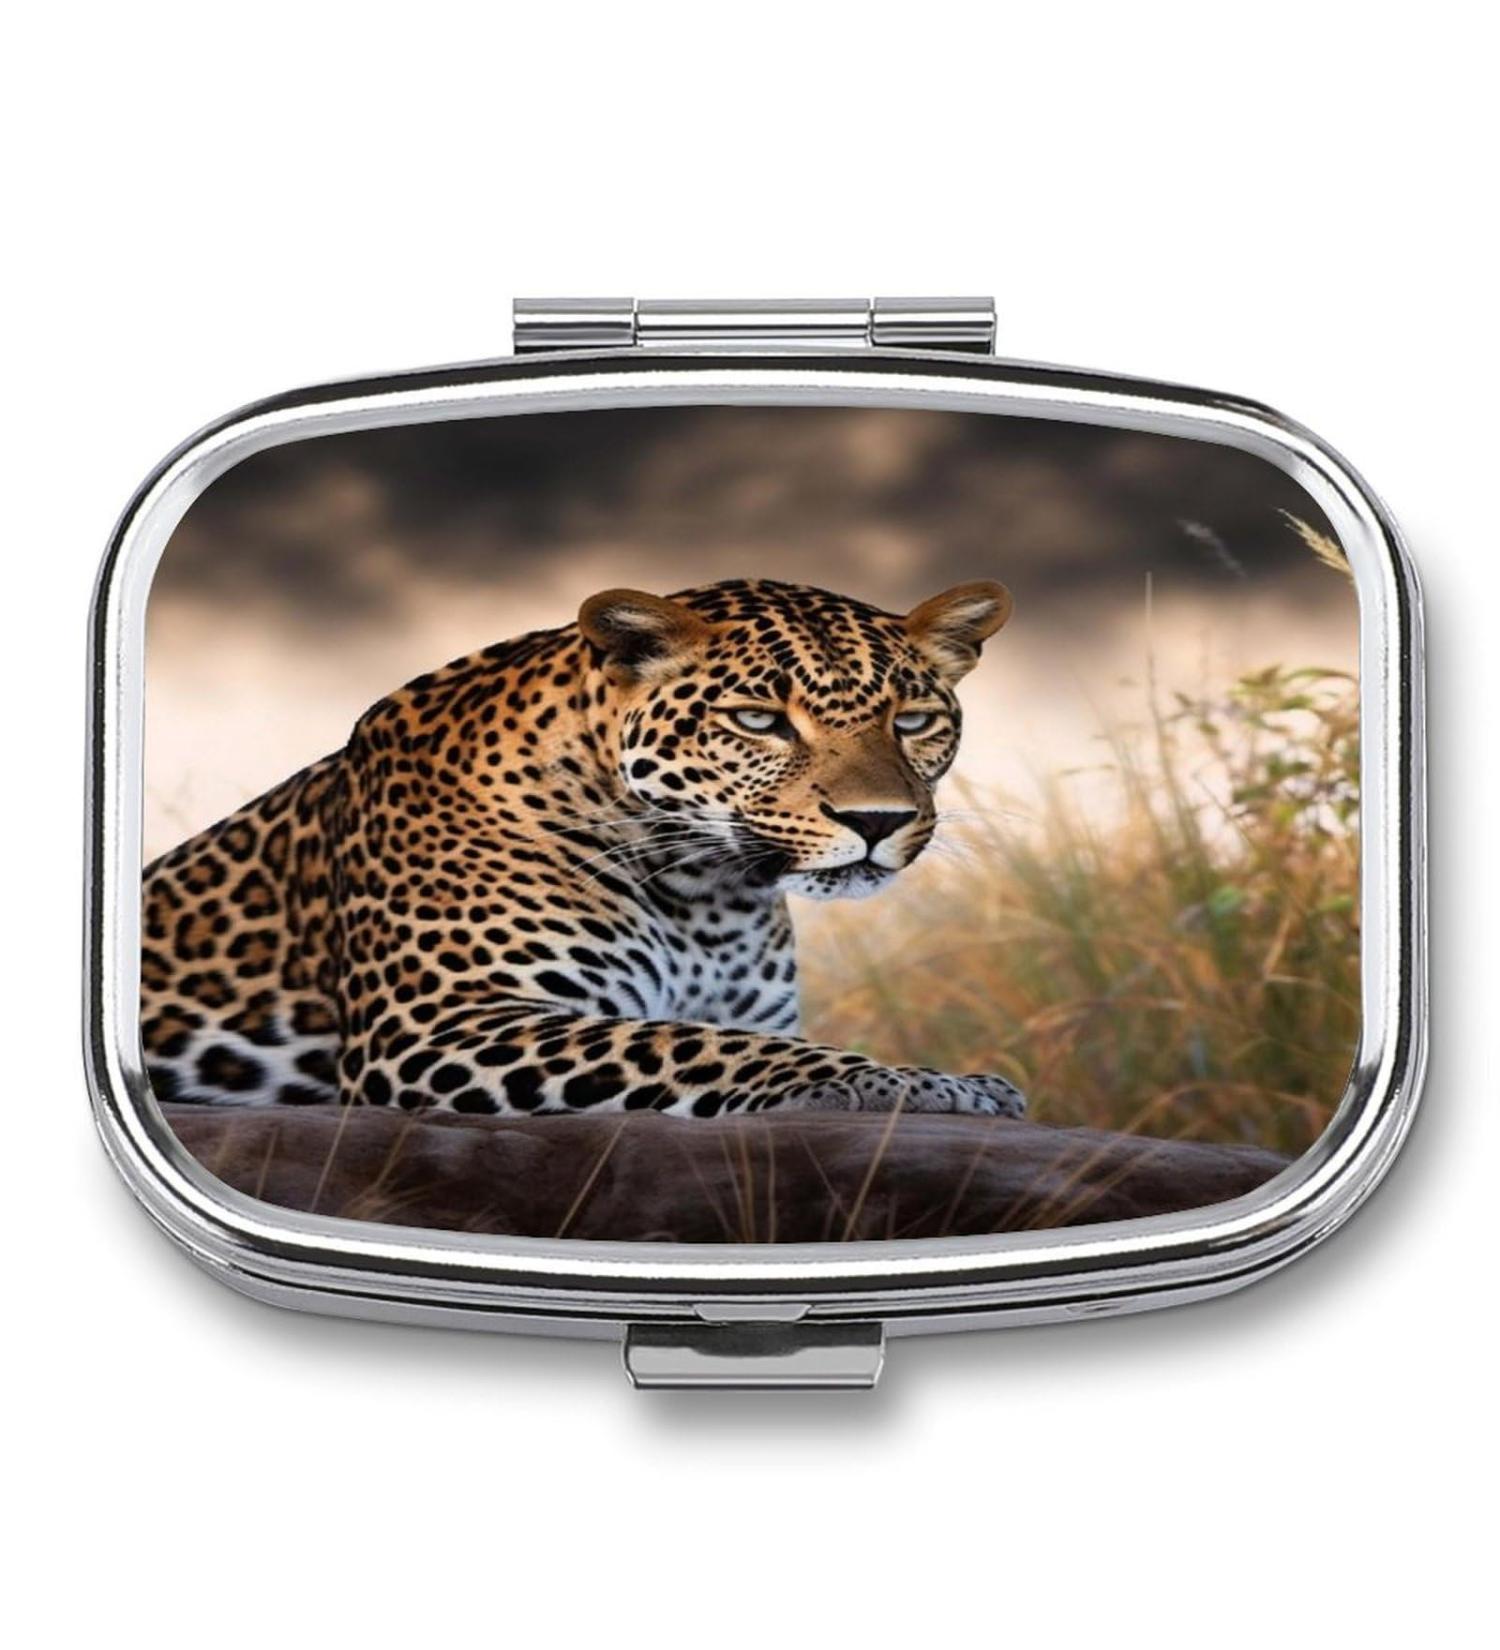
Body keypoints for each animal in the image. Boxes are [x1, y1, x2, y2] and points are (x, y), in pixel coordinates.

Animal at [141, 577, 1027, 1121]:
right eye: (759, 720)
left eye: (913, 721)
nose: (876, 819)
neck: (707, 893)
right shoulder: (439, 1025)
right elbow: (691, 1043)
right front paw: (921, 1083)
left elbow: (732, 1035)